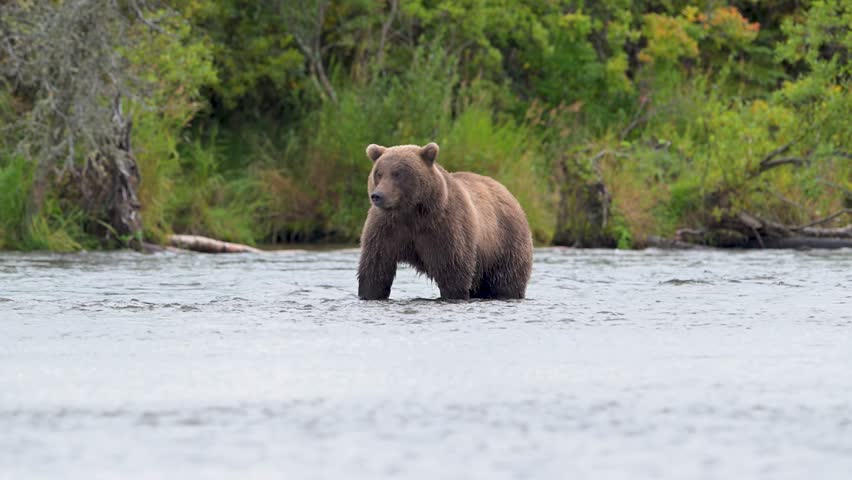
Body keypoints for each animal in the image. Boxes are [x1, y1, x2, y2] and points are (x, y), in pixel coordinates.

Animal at [357, 142, 533, 300]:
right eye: (378, 173)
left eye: (398, 173)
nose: (377, 195)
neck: (410, 214)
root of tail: (507, 192)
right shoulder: (386, 229)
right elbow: (376, 268)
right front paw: (370, 294)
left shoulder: (445, 229)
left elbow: (453, 271)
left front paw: (453, 294)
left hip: (505, 243)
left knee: (507, 280)